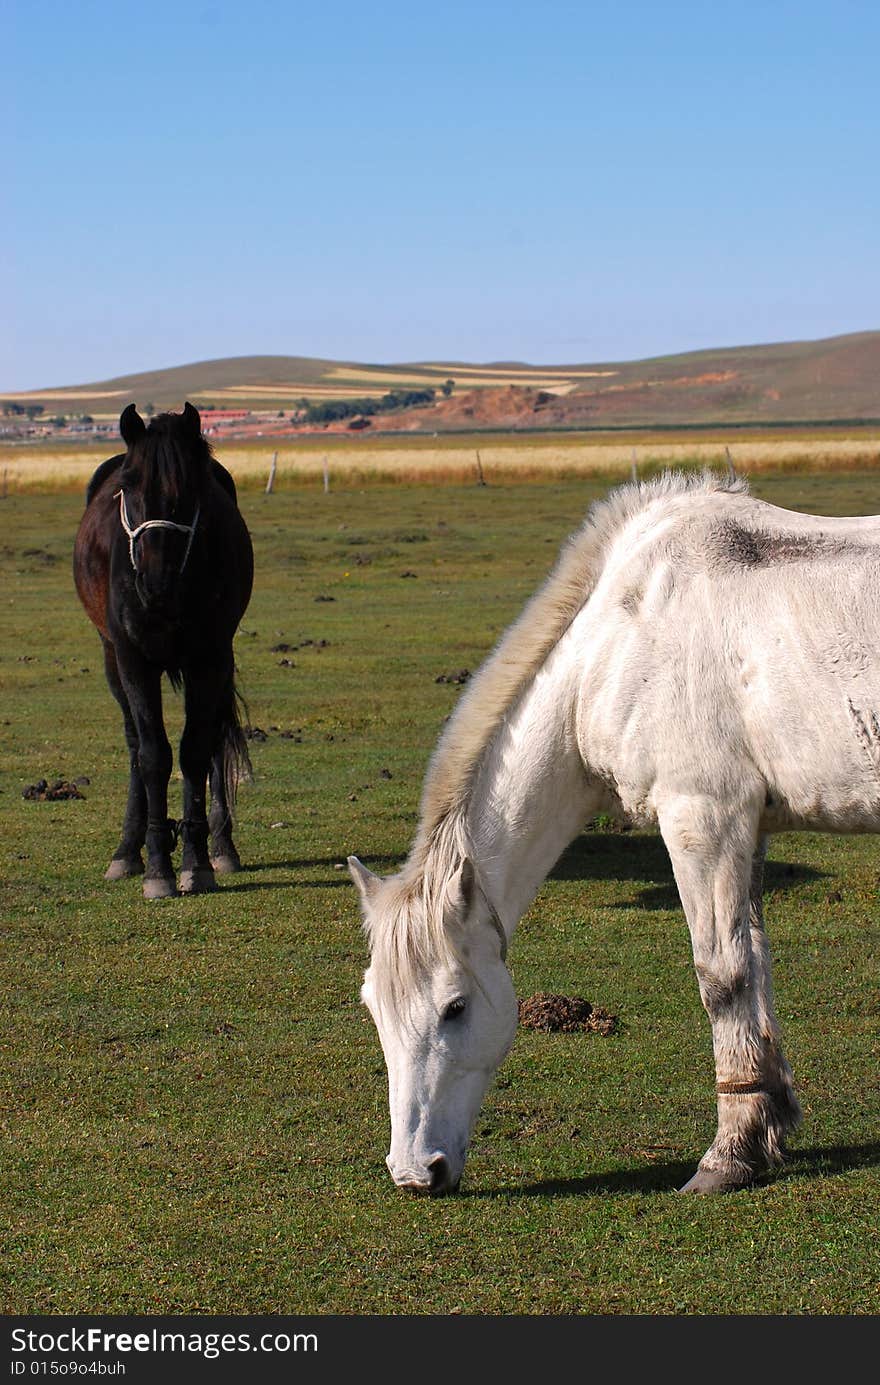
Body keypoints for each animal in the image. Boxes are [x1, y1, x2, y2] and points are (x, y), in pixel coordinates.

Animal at [73, 404, 253, 897]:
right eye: (129, 484)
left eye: (189, 489)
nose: (155, 583)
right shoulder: (133, 660)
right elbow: (153, 754)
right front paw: (157, 865)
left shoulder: (211, 658)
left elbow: (196, 749)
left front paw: (197, 860)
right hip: (111, 659)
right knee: (136, 744)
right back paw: (126, 850)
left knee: (214, 740)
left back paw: (222, 845)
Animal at [349, 470, 880, 1196]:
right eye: (373, 1006)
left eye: (454, 1007)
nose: (413, 1171)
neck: (624, 636)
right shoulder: (747, 827)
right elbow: (756, 962)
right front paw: (767, 1124)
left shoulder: (703, 818)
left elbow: (722, 975)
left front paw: (728, 1154)